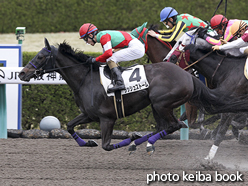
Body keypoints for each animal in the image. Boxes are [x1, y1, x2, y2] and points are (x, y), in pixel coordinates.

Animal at [17, 38, 248, 154]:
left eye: (40, 56)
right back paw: (141, 141)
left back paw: (140, 142)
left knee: (174, 126)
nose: (21, 73)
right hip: (156, 105)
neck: (86, 79)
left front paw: (127, 139)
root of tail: (188, 76)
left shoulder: (107, 118)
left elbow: (107, 145)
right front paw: (88, 143)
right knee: (165, 127)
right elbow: (70, 126)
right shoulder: (89, 115)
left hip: (161, 103)